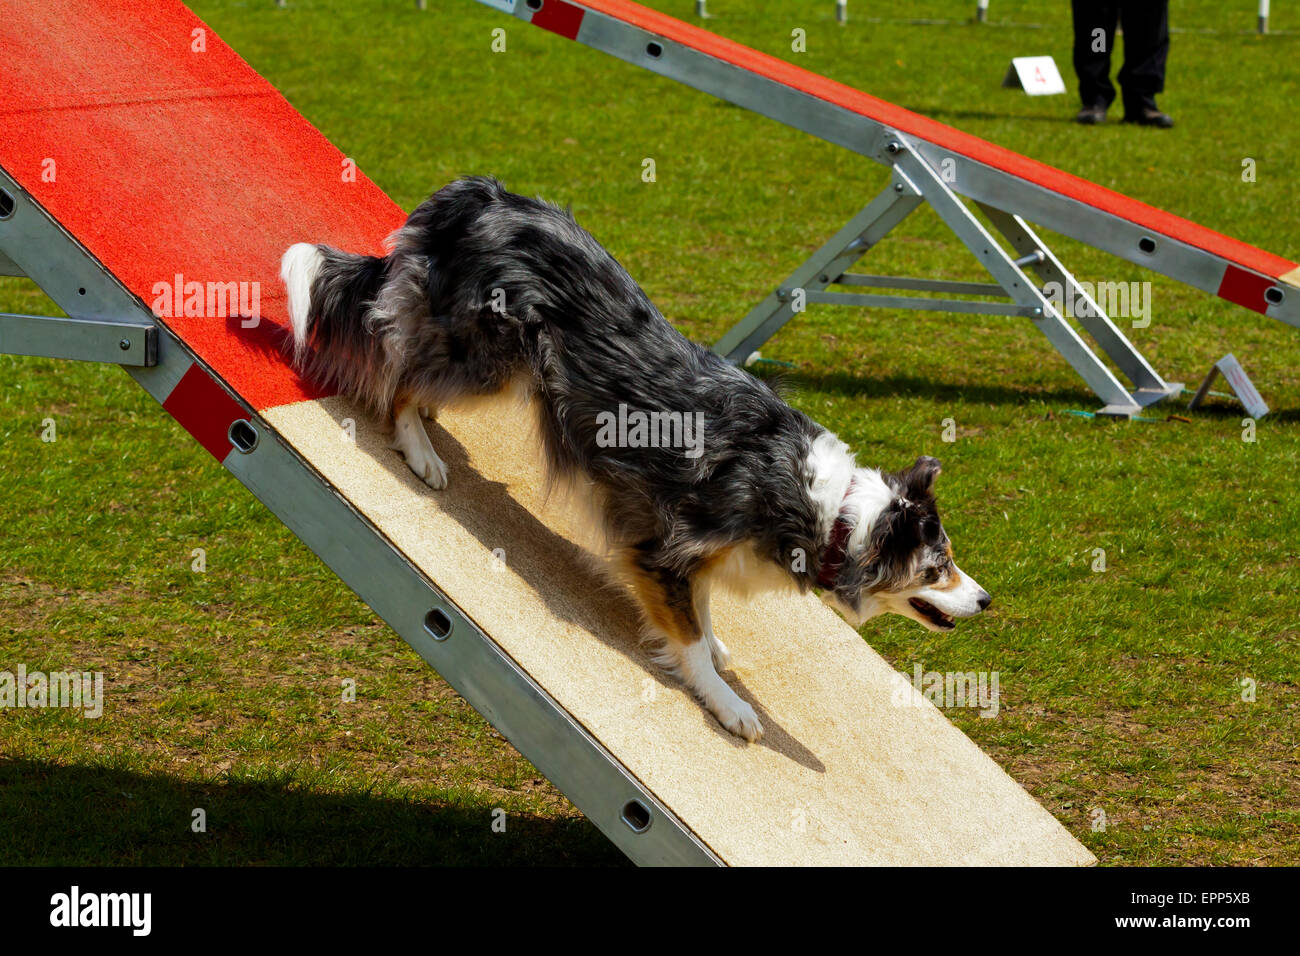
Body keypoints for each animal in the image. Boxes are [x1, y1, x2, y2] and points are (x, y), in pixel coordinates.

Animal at [279, 178, 987, 738]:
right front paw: (727, 705)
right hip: (489, 355)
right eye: (937, 568)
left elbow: (704, 609)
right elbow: (690, 637)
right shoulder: (664, 546)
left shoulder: (697, 556)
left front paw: (719, 647)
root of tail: (479, 194)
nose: (984, 602)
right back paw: (419, 446)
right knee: (397, 365)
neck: (834, 513)